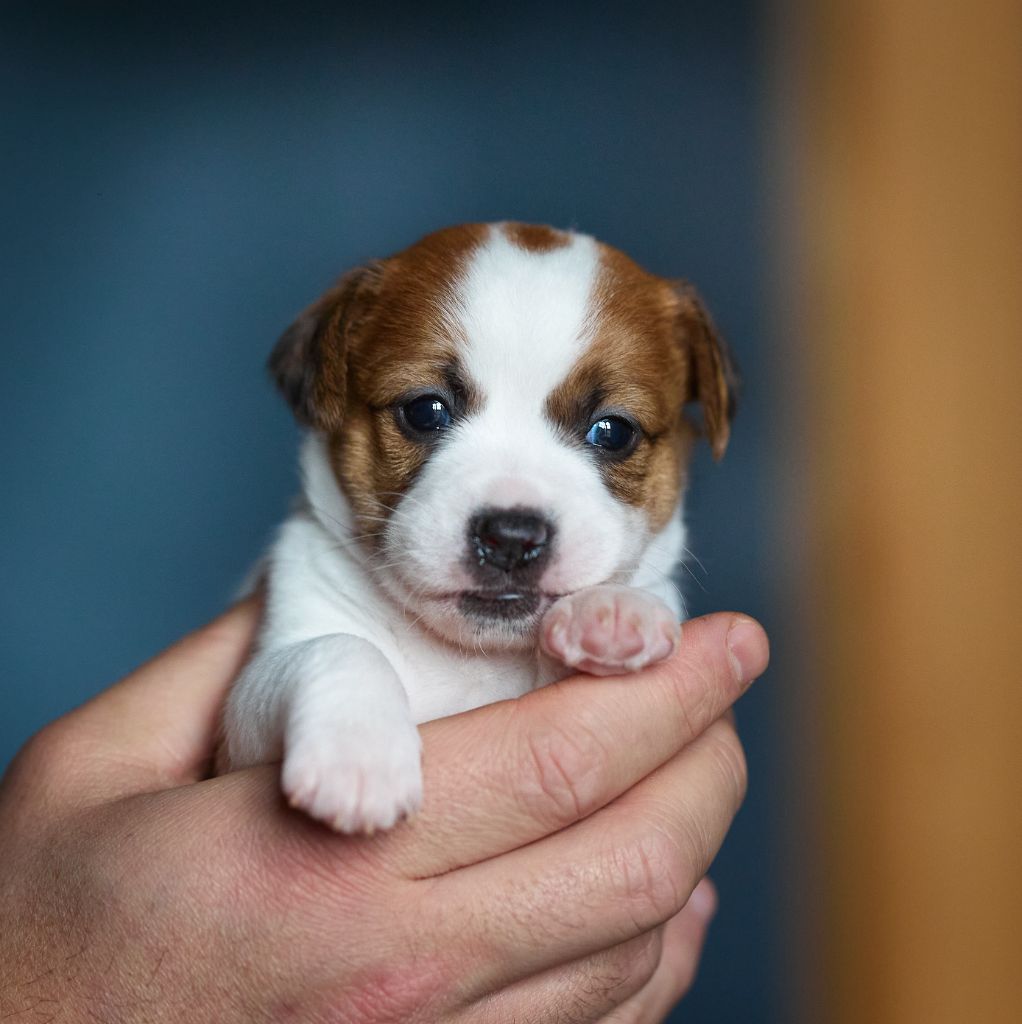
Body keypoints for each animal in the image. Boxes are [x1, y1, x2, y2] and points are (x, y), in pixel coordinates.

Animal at [222, 222, 737, 831]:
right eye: (425, 411)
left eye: (613, 431)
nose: (511, 537)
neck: (472, 658)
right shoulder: (237, 727)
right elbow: (338, 648)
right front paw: (357, 753)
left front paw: (611, 610)